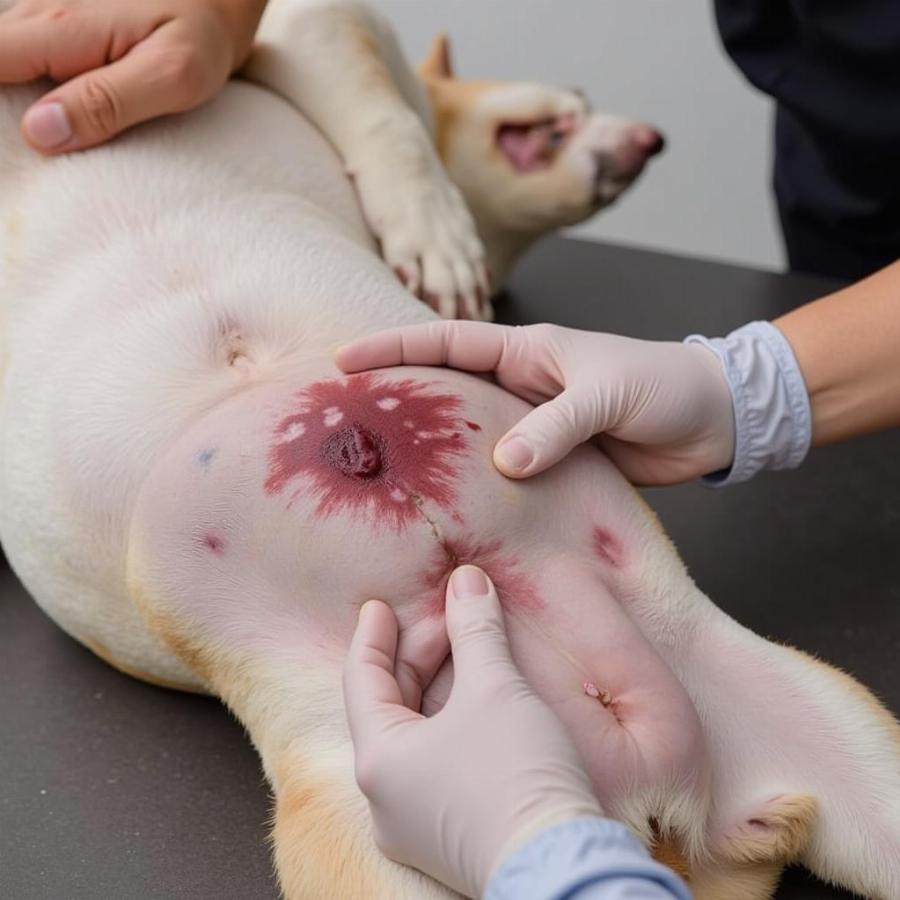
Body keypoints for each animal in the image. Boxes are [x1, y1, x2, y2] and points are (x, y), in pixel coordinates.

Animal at [0, 1, 896, 900]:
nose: (646, 140)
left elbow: (381, 111)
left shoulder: (309, 32)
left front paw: (430, 233)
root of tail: (656, 819)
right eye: (564, 110)